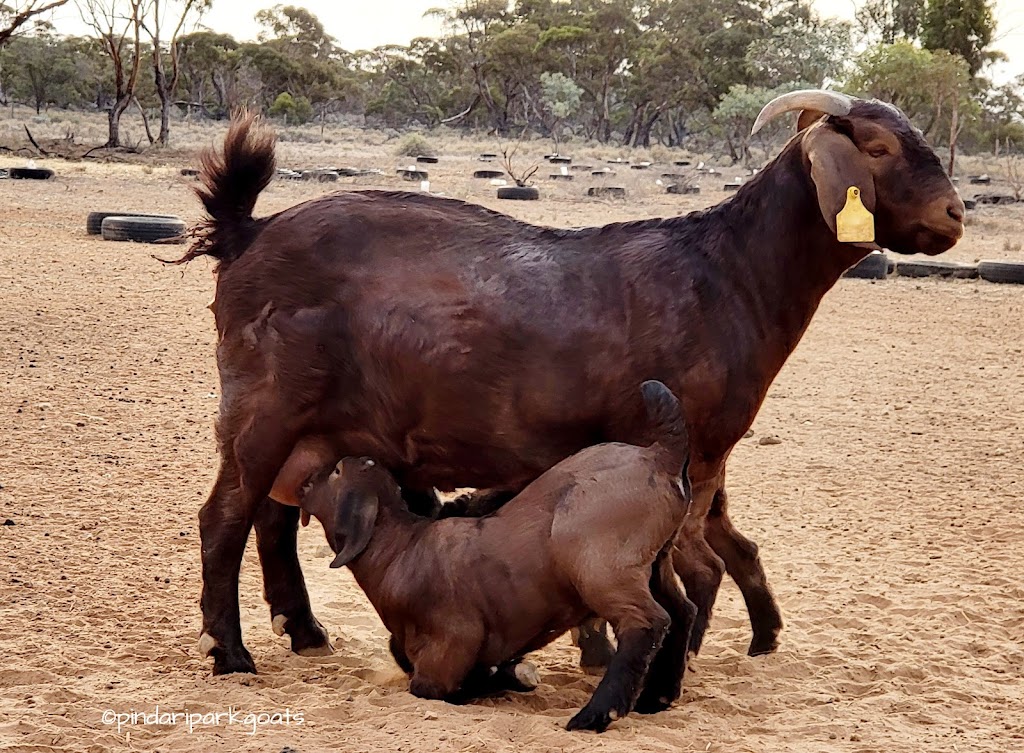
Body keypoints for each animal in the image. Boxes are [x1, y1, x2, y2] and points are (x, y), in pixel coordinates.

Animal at [177, 90, 964, 676]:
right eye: (880, 149)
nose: (954, 215)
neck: (727, 272)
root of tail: (248, 231)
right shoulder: (691, 454)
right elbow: (688, 568)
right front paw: (657, 659)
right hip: (263, 410)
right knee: (225, 518)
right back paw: (232, 651)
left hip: (311, 428)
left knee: (276, 514)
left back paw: (303, 630)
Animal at [283, 380, 696, 732]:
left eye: (336, 471)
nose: (305, 482)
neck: (401, 547)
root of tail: (660, 455)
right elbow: (402, 654)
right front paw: (512, 674)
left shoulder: (453, 641)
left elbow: (431, 687)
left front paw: (510, 676)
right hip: (655, 561)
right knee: (680, 610)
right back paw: (655, 699)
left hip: (602, 567)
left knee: (647, 621)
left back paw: (595, 714)